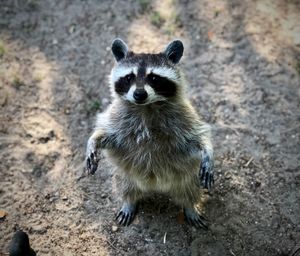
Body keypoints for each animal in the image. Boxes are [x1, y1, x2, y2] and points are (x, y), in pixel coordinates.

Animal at [85, 39, 214, 229]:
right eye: (129, 77)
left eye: (154, 78)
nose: (139, 94)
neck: (146, 107)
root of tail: (156, 185)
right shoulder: (117, 117)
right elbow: (107, 133)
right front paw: (93, 141)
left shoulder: (183, 115)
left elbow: (196, 136)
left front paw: (207, 151)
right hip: (126, 173)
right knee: (124, 185)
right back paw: (129, 202)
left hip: (185, 175)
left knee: (189, 188)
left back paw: (190, 206)